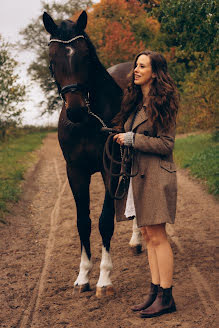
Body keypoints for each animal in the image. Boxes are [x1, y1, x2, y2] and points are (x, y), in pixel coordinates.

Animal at [42, 10, 142, 298]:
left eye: (85, 56)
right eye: (52, 59)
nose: (75, 110)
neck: (87, 123)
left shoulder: (111, 168)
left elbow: (105, 221)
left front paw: (104, 279)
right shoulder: (75, 171)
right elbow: (83, 222)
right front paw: (83, 276)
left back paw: (137, 240)